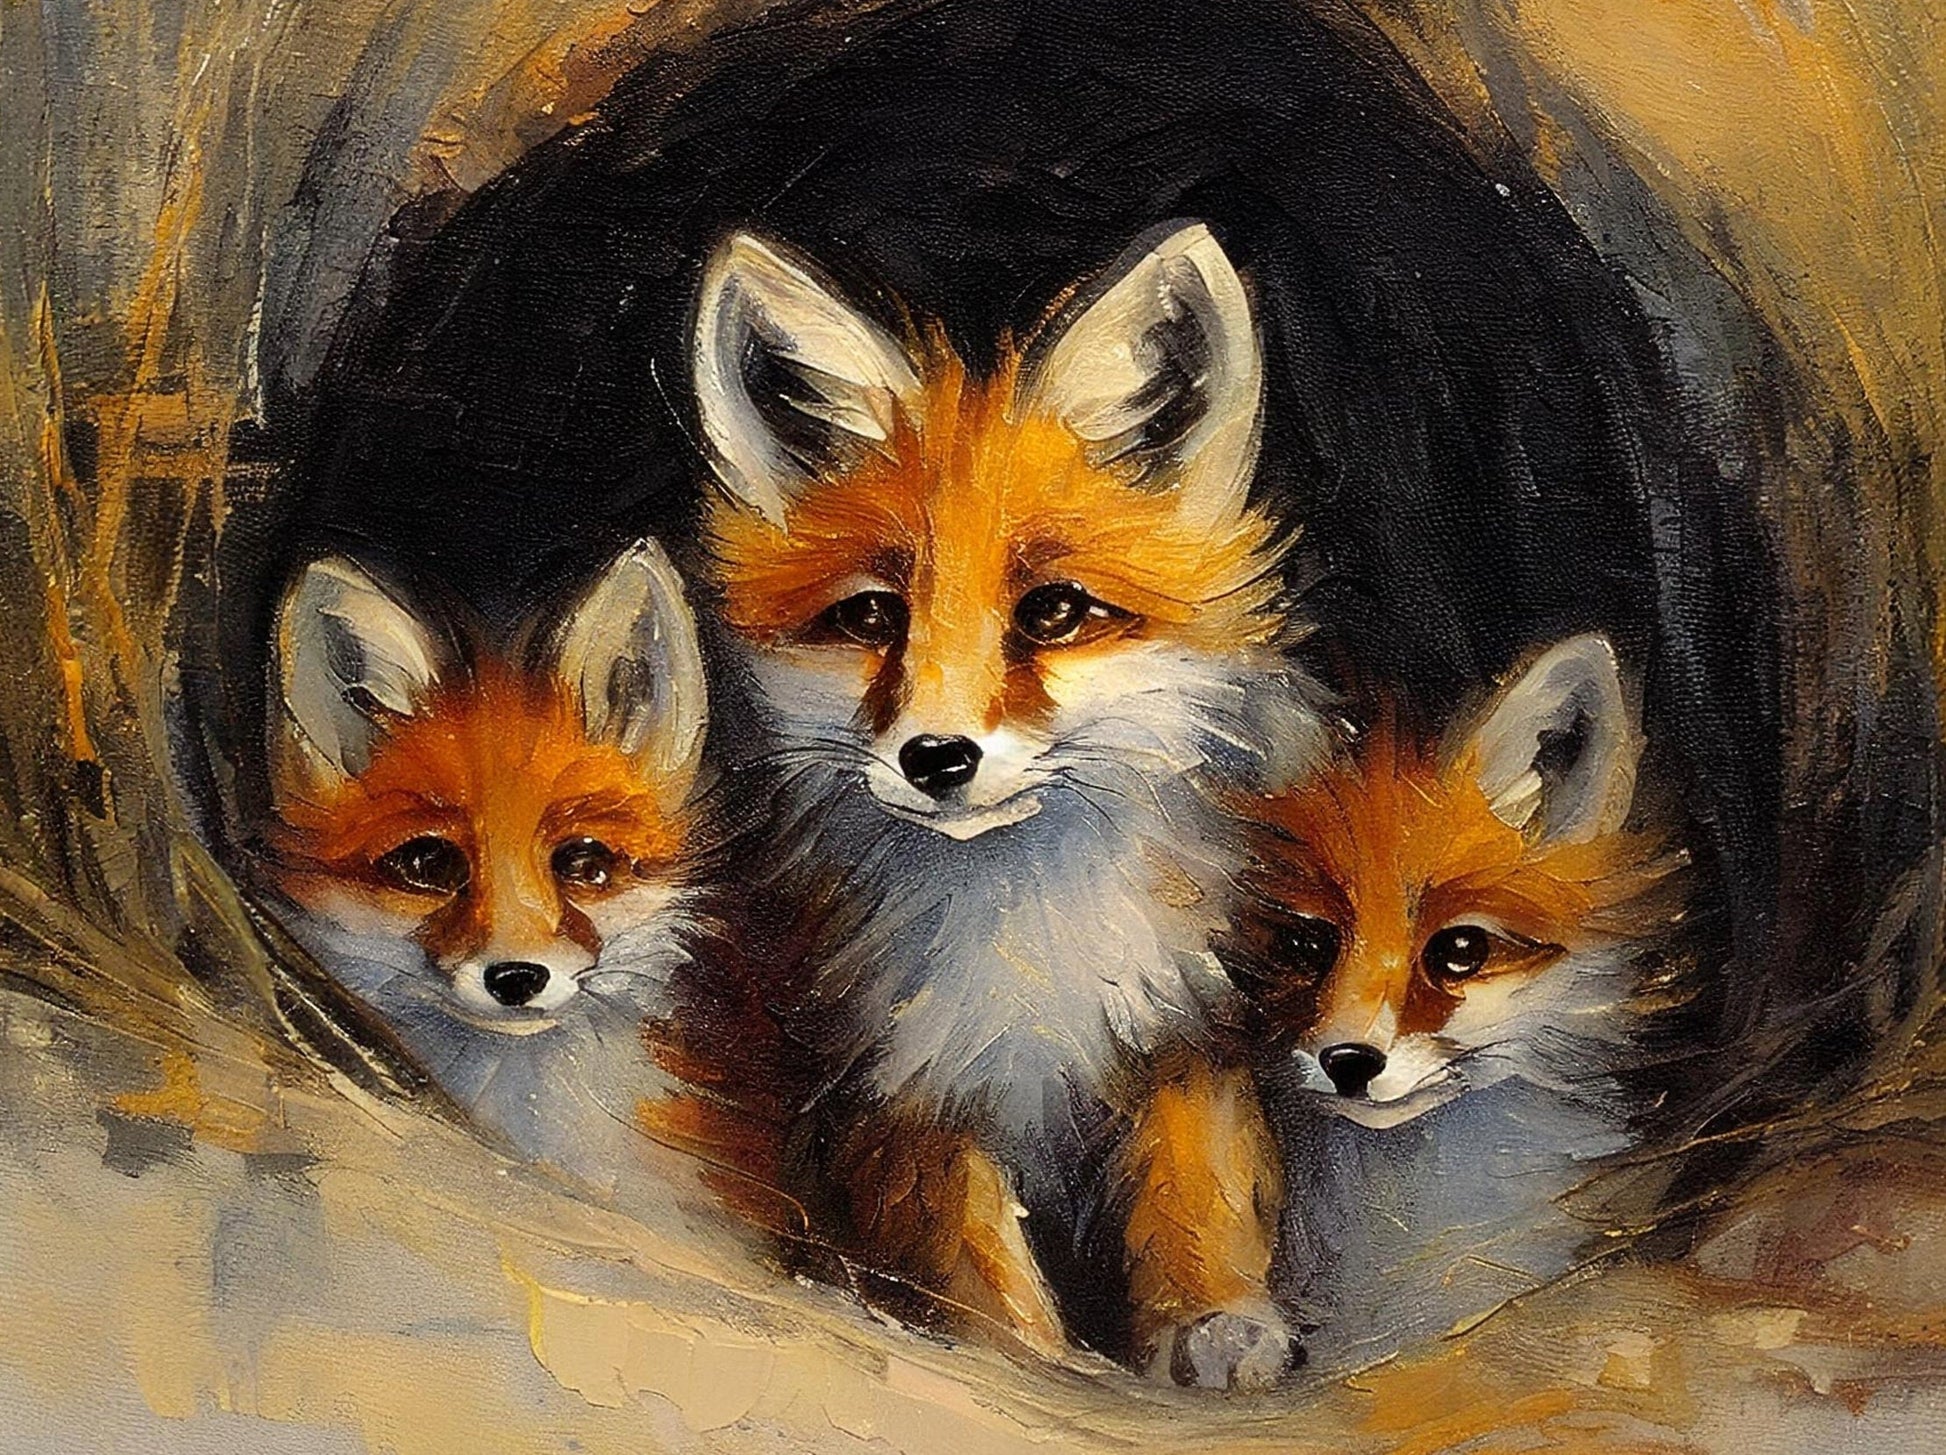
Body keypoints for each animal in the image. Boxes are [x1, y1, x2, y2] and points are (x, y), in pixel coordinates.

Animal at [692, 221, 1326, 1386]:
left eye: (1054, 612)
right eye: (870, 617)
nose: (936, 758)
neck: (1027, 947)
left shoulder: (1178, 1020)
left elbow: (1196, 1179)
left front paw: (1213, 1315)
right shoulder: (897, 1094)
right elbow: (985, 1280)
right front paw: (1038, 1361)